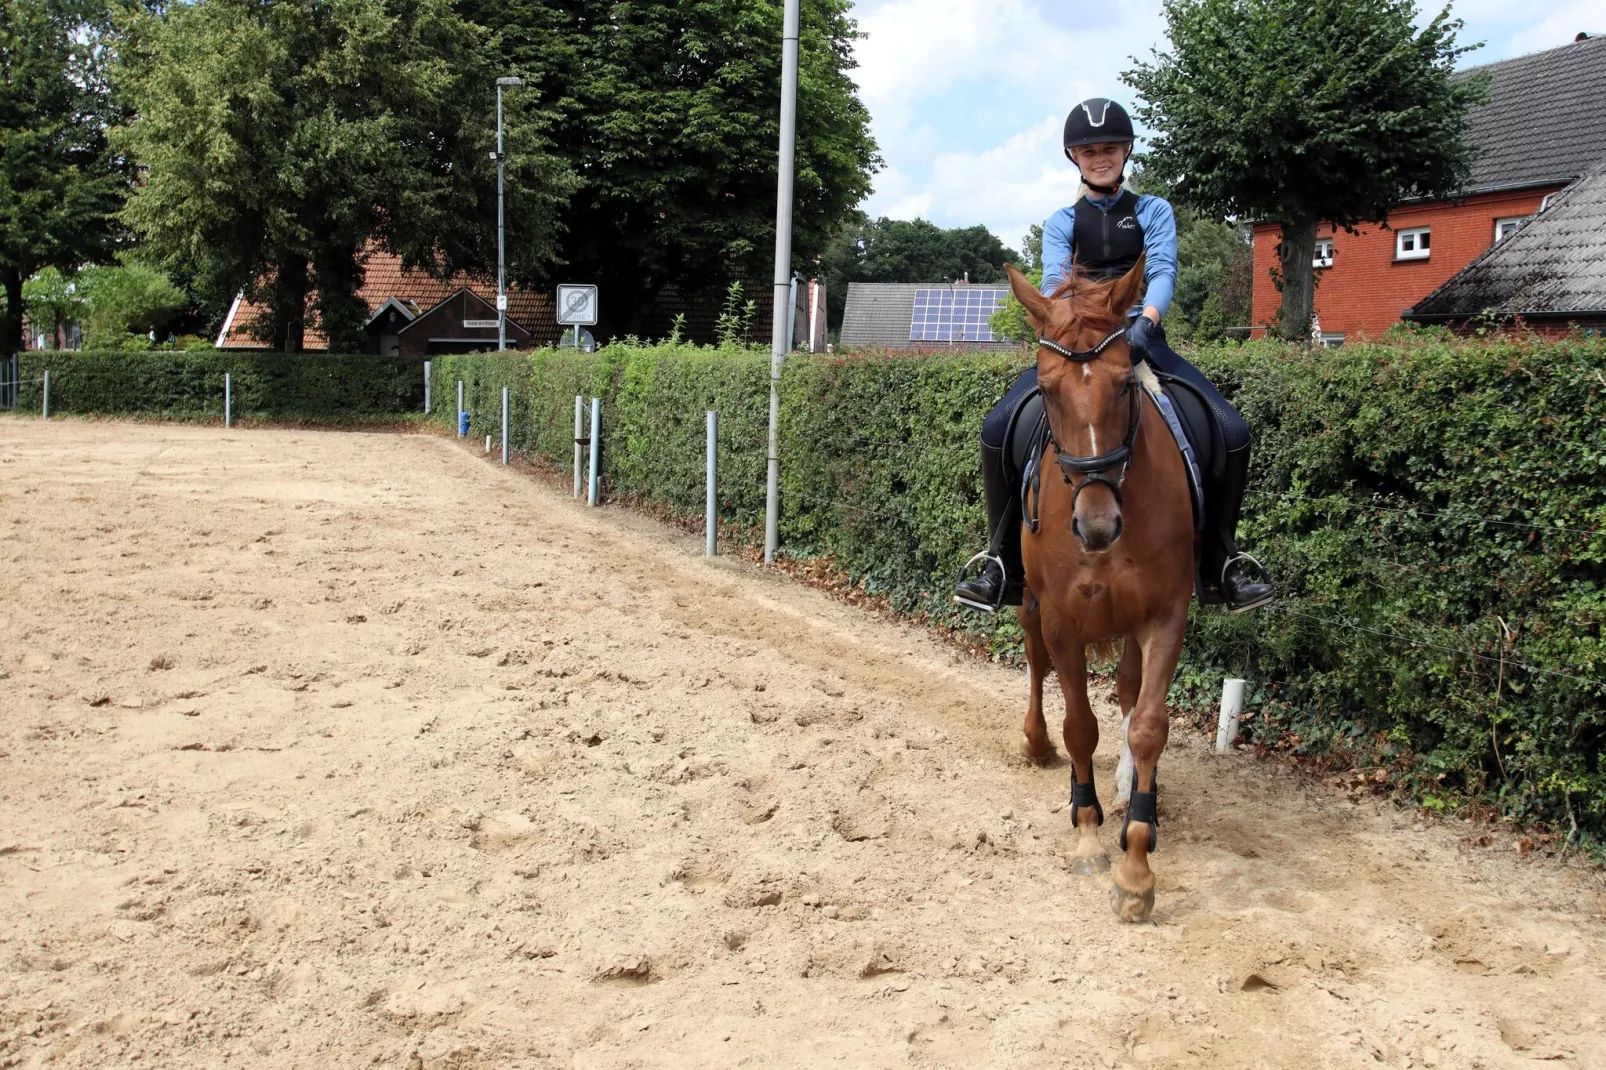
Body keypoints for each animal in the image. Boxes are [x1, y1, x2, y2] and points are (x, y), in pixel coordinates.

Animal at [1008, 257, 1201, 918]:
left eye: (1123, 384)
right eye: (1046, 390)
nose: (1096, 527)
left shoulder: (1165, 615)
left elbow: (1146, 725)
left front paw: (1136, 866)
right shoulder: (1060, 617)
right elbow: (1079, 726)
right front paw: (1088, 833)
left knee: (1127, 691)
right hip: (1030, 606)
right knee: (1038, 665)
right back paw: (1042, 750)